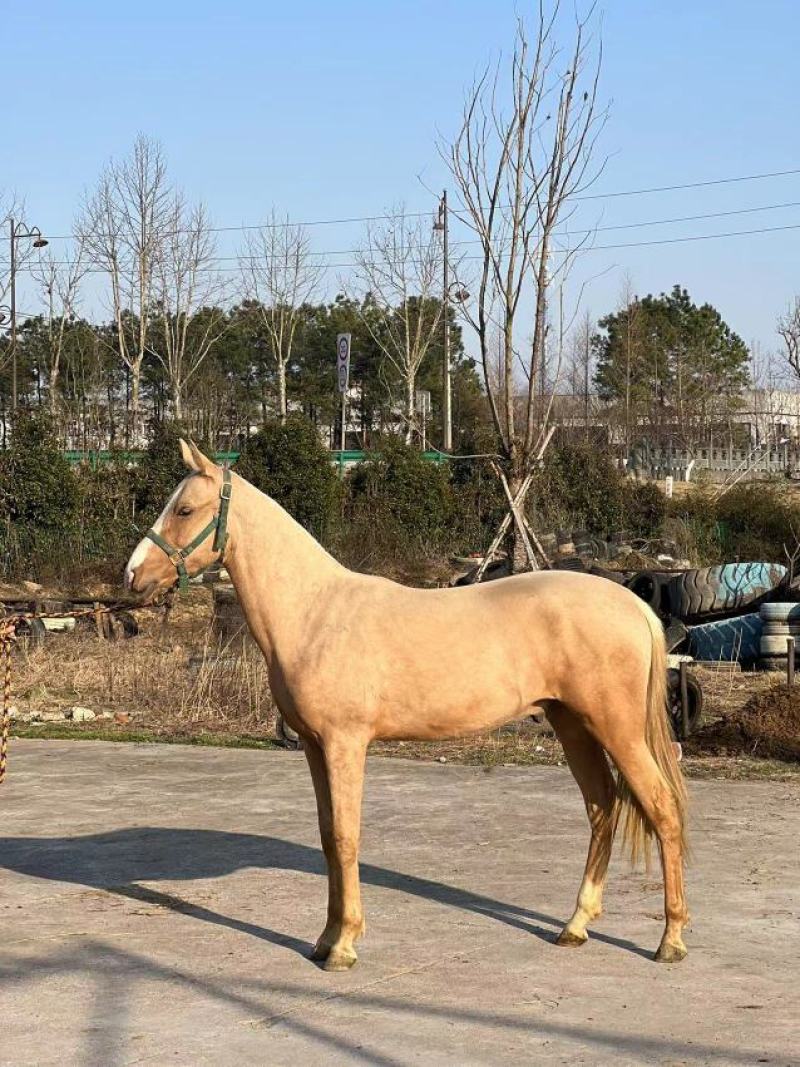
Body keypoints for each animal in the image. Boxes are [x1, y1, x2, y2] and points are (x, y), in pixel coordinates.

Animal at [125, 440, 689, 972]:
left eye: (184, 509)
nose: (132, 575)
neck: (313, 612)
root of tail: (636, 605)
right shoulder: (312, 746)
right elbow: (328, 837)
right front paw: (324, 939)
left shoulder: (345, 743)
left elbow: (347, 837)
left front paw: (344, 946)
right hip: (572, 725)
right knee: (602, 807)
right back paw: (575, 926)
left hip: (616, 728)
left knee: (662, 808)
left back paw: (670, 940)